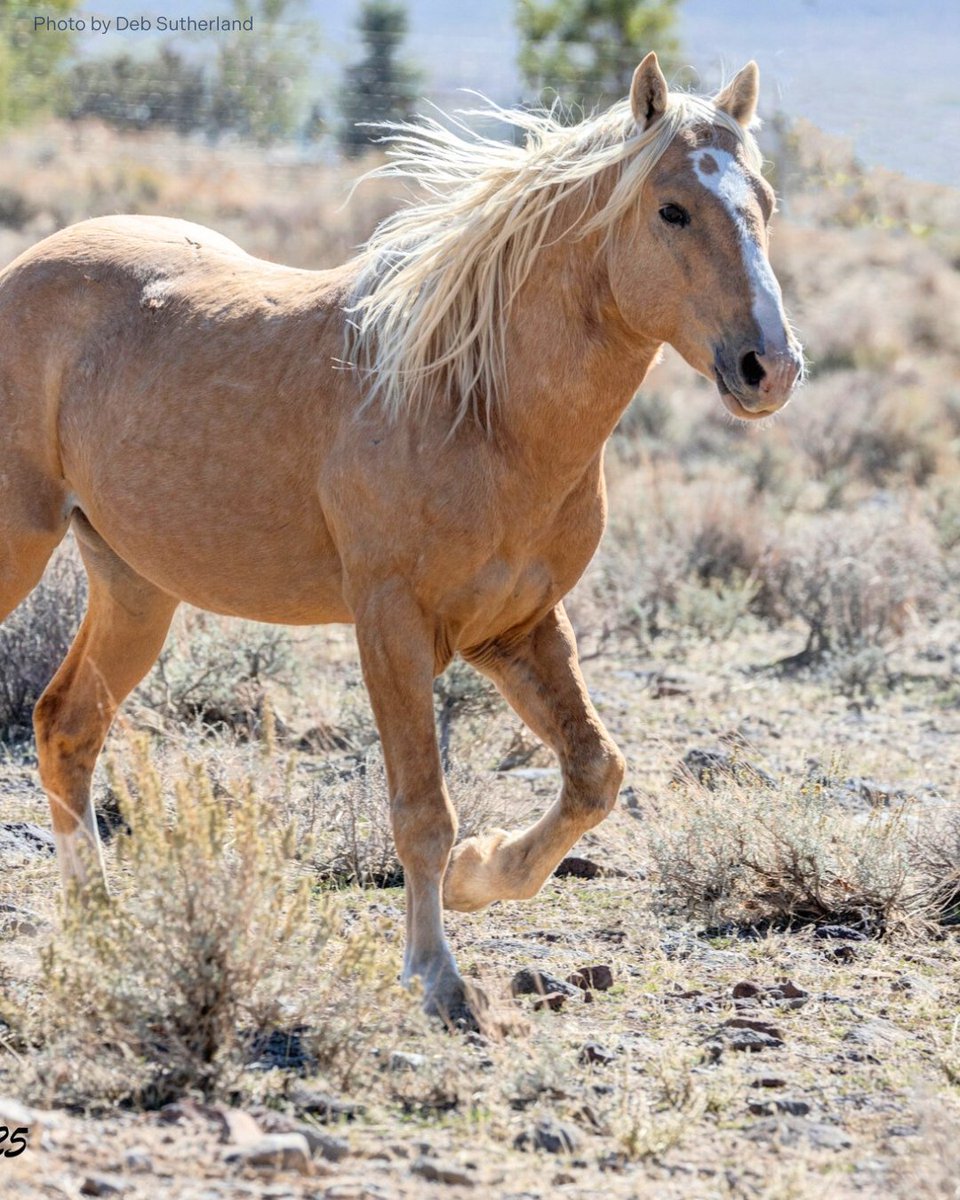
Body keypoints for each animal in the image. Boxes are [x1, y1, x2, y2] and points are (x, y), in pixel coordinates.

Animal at [0, 53, 802, 1025]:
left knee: (66, 725)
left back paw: (101, 921)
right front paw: (438, 975)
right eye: (672, 209)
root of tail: (25, 268)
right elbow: (422, 809)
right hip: (21, 544)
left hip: (135, 585)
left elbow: (593, 772)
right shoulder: (390, 622)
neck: (478, 403)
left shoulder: (518, 626)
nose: (770, 368)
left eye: (765, 201)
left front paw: (481, 875)